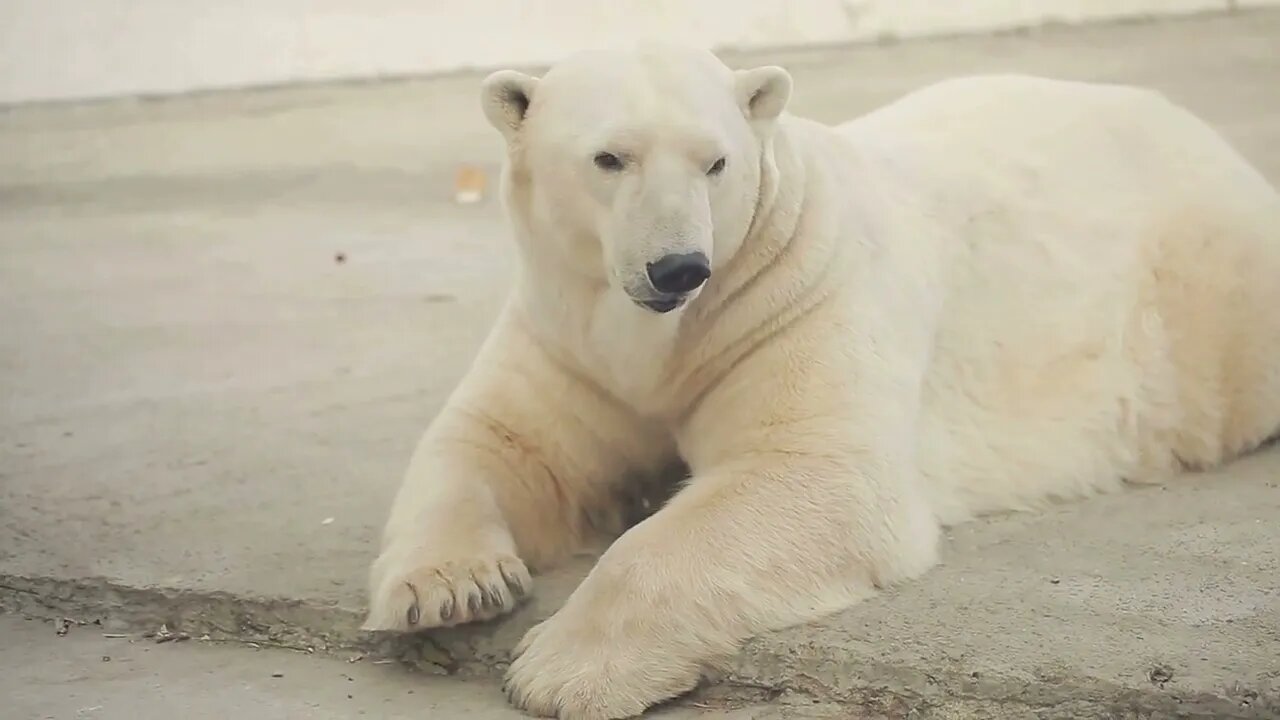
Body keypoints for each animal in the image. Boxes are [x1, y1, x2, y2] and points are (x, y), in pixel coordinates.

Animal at [358, 46, 1280, 717]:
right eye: (608, 157)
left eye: (717, 162)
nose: (679, 267)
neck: (664, 330)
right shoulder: (568, 334)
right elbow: (503, 443)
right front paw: (449, 588)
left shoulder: (795, 295)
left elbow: (816, 474)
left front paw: (559, 668)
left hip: (1209, 291)